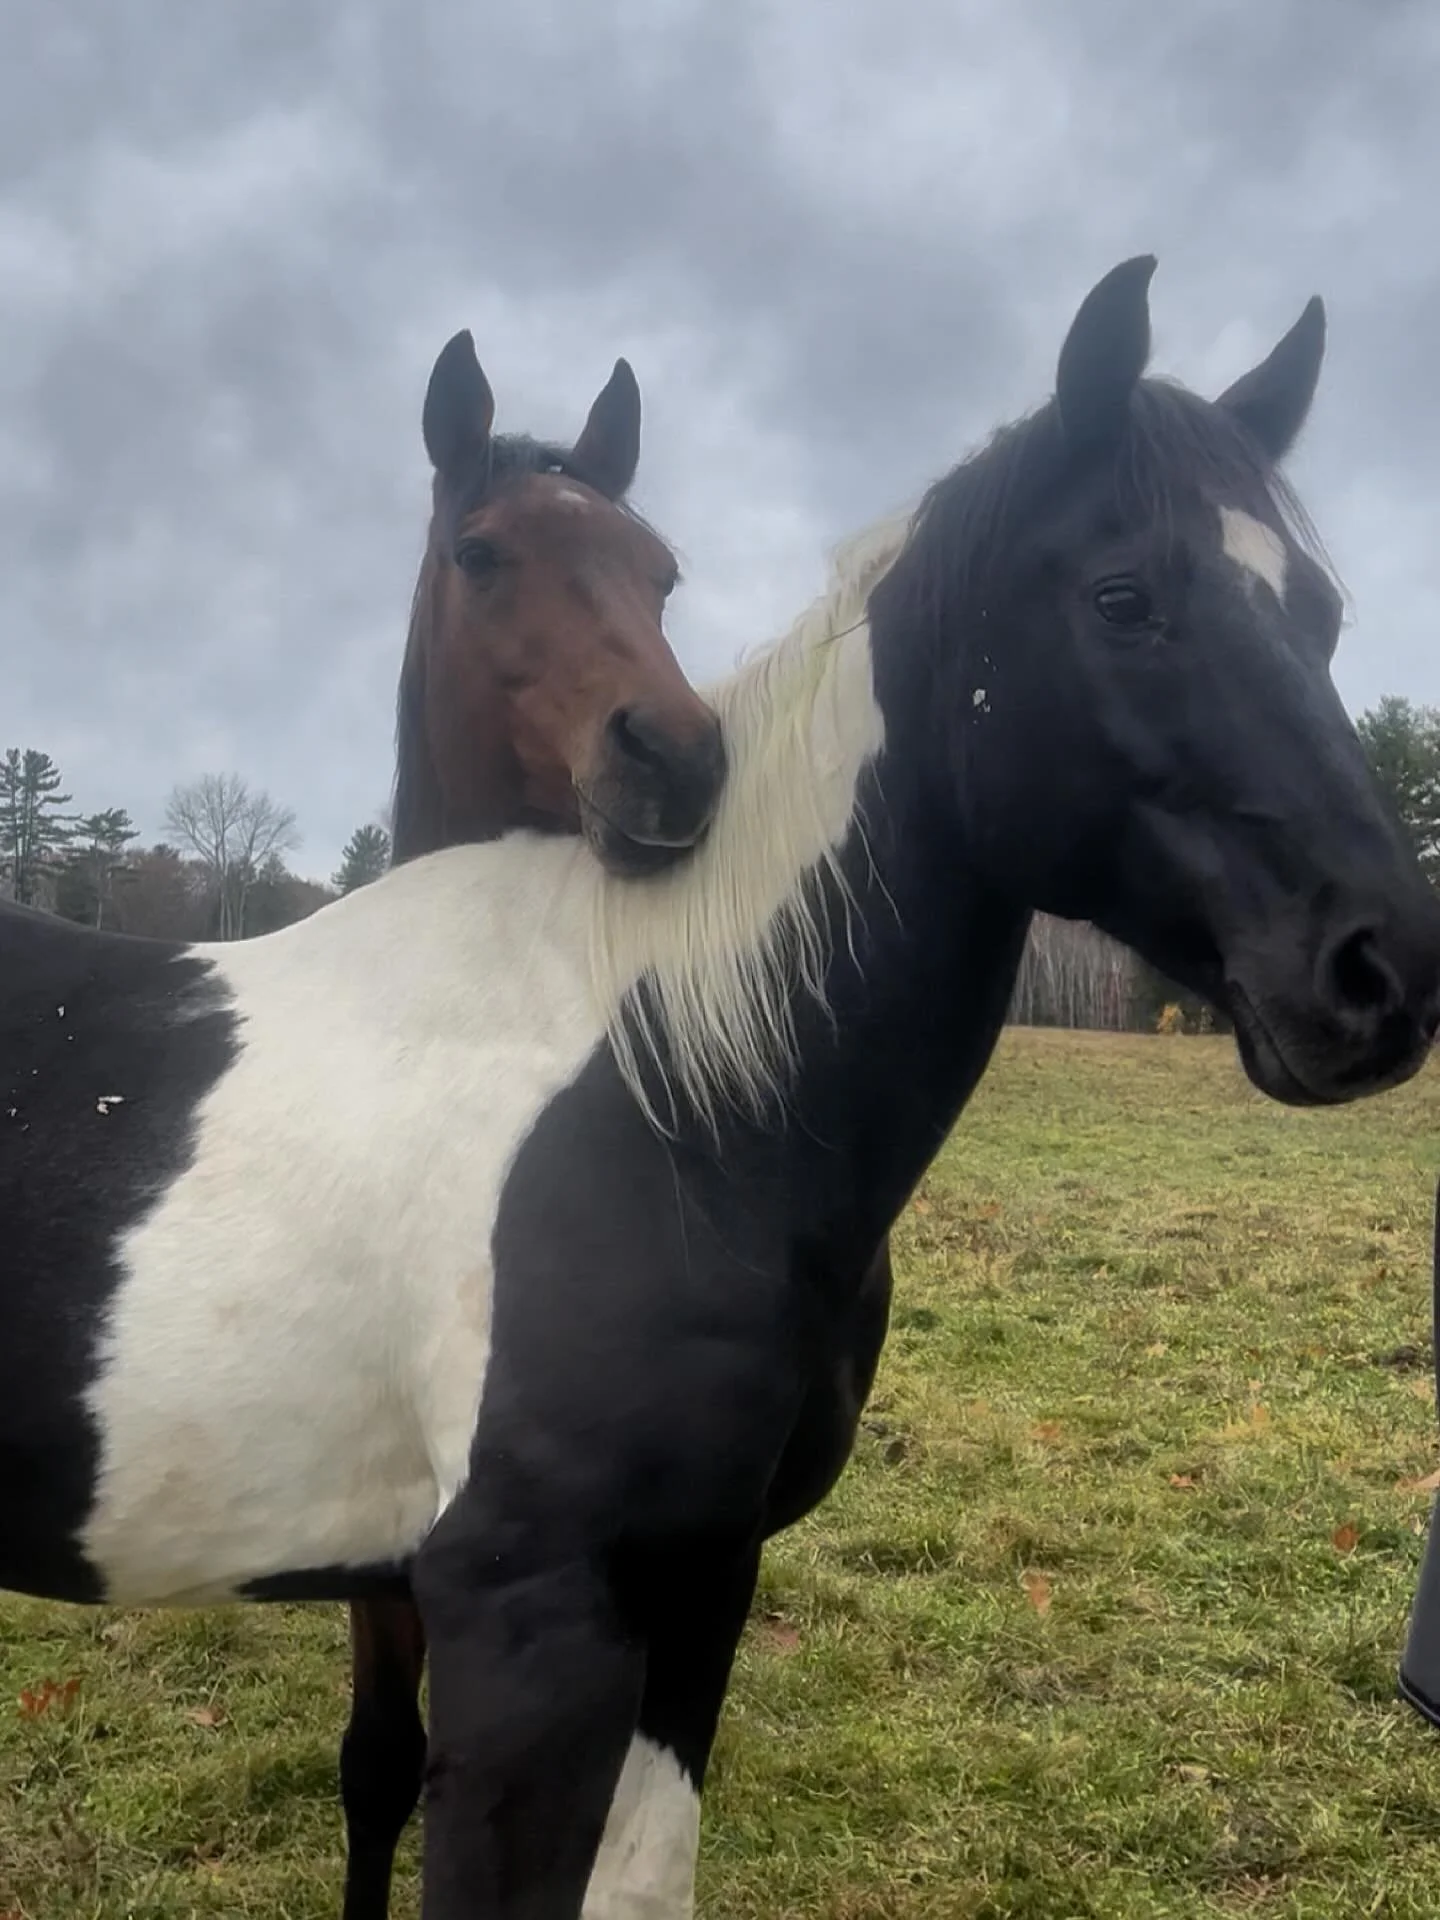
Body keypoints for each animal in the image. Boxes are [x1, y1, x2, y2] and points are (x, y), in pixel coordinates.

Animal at [4, 256, 1439, 1920]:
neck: (662, 1108)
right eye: (1124, 599)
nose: (1381, 972)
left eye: (1320, 612)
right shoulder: (521, 1626)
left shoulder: (698, 1589)